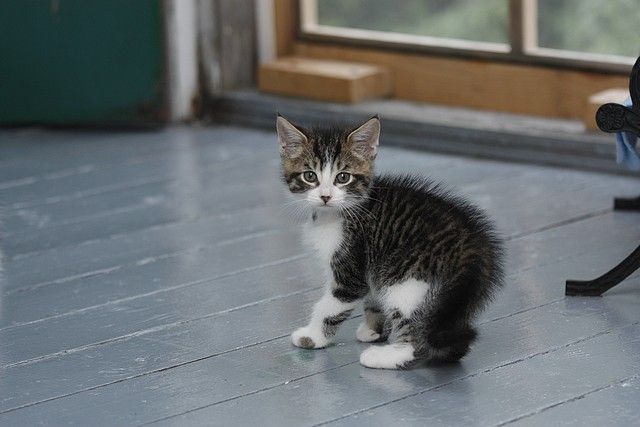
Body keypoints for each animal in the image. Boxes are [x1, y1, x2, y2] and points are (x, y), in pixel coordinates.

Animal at [278, 115, 502, 370]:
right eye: (310, 176)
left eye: (343, 177)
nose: (325, 196)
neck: (336, 214)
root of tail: (473, 247)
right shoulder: (372, 264)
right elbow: (374, 295)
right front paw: (374, 329)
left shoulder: (351, 269)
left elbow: (330, 306)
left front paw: (312, 336)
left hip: (406, 277)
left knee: (417, 338)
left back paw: (383, 356)